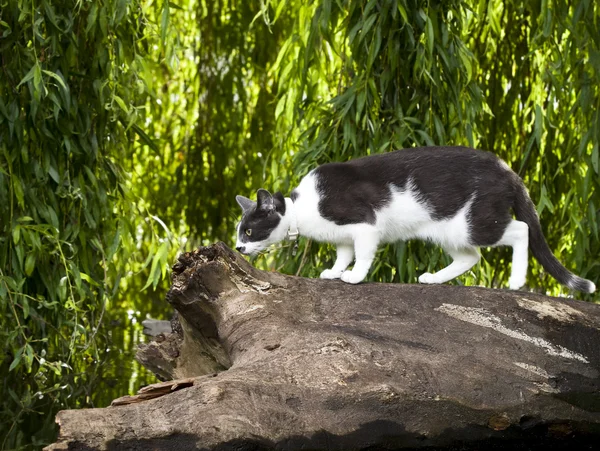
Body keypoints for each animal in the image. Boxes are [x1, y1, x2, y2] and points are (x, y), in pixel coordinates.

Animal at [234, 146, 596, 294]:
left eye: (249, 230)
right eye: (239, 232)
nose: (238, 248)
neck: (303, 208)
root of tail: (508, 169)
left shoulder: (365, 224)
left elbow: (362, 255)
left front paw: (354, 277)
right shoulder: (344, 236)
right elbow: (343, 253)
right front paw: (335, 272)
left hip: (476, 223)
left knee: (520, 230)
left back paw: (517, 281)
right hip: (449, 230)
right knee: (471, 257)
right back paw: (433, 279)